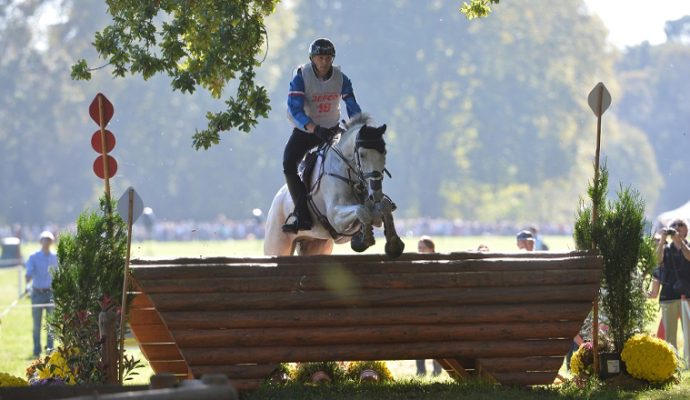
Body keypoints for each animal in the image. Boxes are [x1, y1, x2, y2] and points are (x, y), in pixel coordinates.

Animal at [264, 114, 404, 258]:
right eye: (362, 155)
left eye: (384, 152)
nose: (375, 192)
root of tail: (276, 200)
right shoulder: (335, 218)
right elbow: (361, 210)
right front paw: (363, 240)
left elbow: (383, 206)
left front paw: (394, 244)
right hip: (277, 244)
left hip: (316, 244)